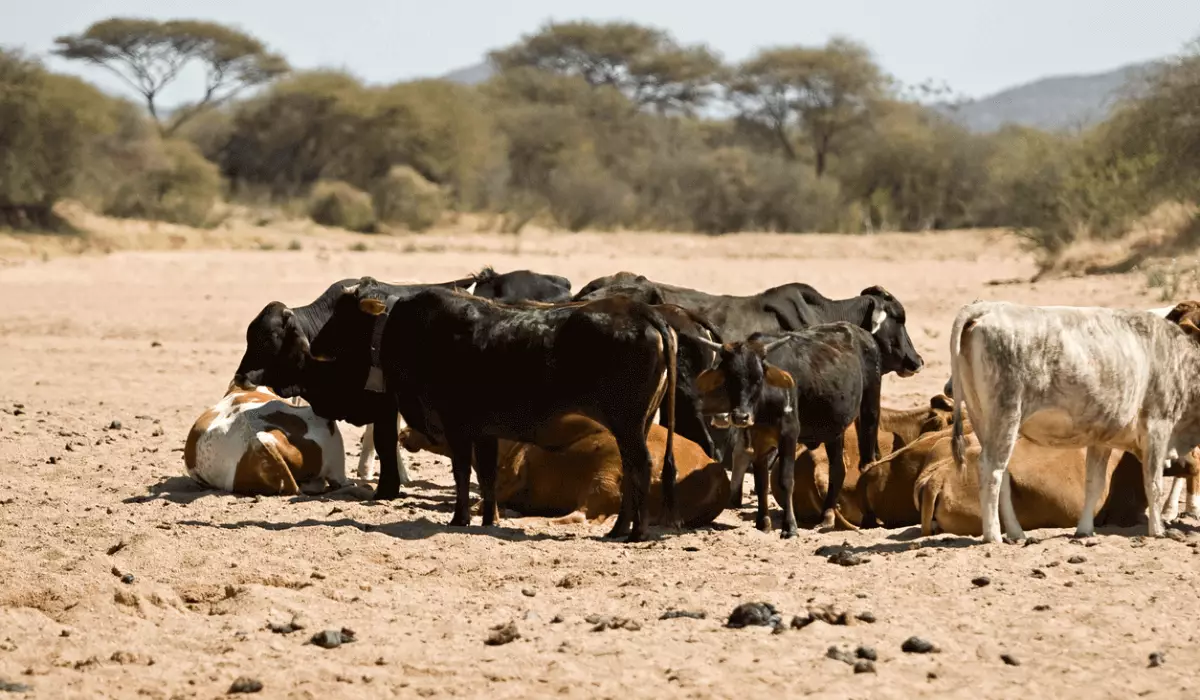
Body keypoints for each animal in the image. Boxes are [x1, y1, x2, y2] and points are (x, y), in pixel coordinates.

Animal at [232, 266, 576, 499]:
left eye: (271, 336)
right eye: (249, 335)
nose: (241, 378)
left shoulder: (387, 402)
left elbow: (384, 441)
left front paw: (387, 488)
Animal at [295, 284, 681, 542]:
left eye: (342, 314)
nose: (316, 345)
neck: (408, 329)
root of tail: (640, 312)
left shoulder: (457, 426)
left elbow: (463, 473)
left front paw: (460, 517)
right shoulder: (485, 432)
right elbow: (487, 475)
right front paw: (488, 519)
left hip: (627, 423)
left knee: (641, 466)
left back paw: (636, 532)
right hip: (637, 424)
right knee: (631, 468)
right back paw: (619, 529)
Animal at [691, 326, 888, 540]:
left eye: (758, 378)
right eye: (729, 378)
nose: (741, 416)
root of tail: (863, 334)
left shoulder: (789, 434)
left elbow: (785, 480)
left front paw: (790, 527)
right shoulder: (759, 439)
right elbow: (761, 481)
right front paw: (763, 523)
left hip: (870, 409)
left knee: (867, 463)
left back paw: (868, 520)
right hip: (834, 430)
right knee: (837, 470)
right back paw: (827, 516)